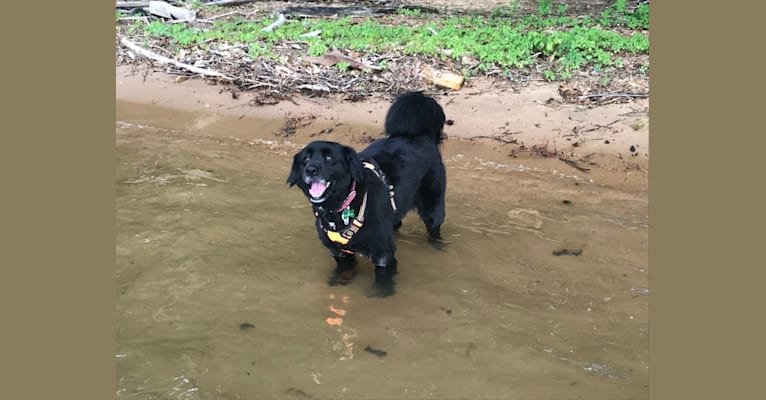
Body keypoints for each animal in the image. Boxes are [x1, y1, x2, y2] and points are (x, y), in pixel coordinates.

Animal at [284, 91, 448, 296]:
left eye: (329, 158)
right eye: (305, 158)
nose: (311, 169)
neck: (339, 209)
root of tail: (421, 135)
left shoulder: (383, 254)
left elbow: (382, 280)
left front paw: (380, 295)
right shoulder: (340, 254)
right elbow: (344, 272)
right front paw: (338, 283)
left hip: (433, 205)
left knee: (434, 228)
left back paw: (438, 246)